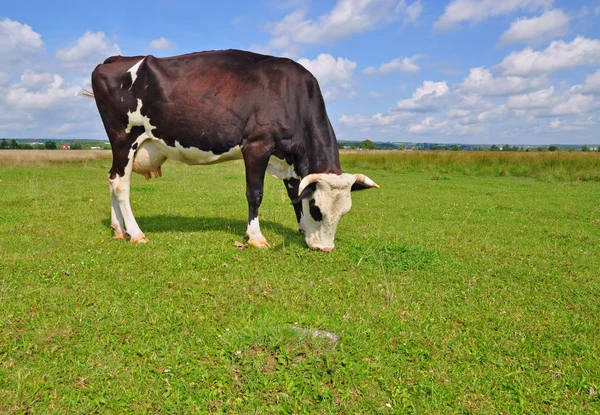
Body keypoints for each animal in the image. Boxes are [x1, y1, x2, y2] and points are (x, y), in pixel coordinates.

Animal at [89, 48, 380, 250]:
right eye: (318, 209)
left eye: (344, 212)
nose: (325, 248)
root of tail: (115, 59)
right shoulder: (257, 145)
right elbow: (255, 193)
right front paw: (256, 237)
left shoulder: (288, 156)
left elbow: (294, 192)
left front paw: (301, 228)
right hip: (125, 138)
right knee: (121, 184)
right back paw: (136, 233)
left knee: (112, 178)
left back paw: (118, 230)